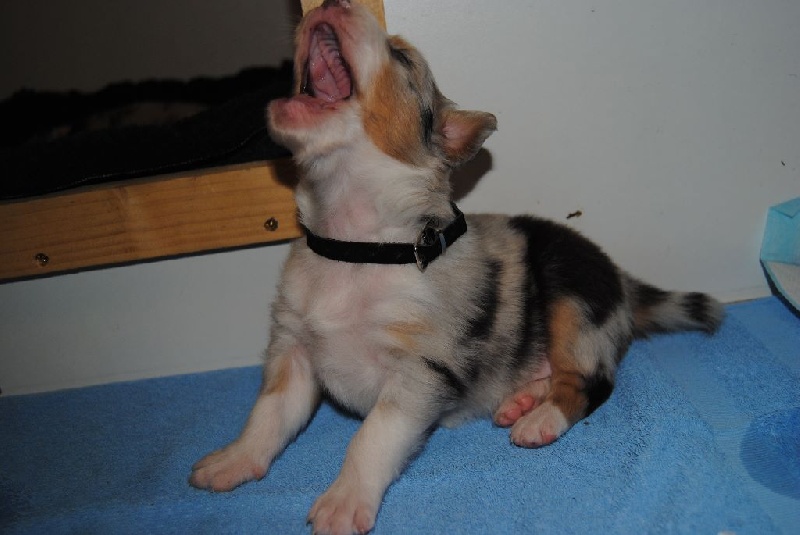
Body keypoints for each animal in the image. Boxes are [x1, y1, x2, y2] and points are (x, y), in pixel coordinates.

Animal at [189, 1, 724, 533]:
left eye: (401, 56)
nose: (329, 3)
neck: (356, 245)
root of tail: (624, 283)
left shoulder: (419, 370)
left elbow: (372, 437)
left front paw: (342, 501)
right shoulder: (294, 351)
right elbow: (268, 415)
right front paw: (232, 460)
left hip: (573, 301)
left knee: (589, 382)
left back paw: (540, 420)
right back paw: (521, 399)